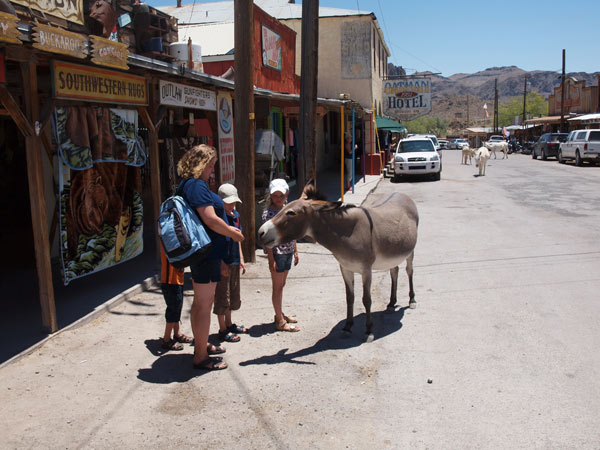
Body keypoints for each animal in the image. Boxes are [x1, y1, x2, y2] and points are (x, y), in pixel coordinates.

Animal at [257, 184, 419, 340]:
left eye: (291, 213)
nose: (260, 232)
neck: (349, 233)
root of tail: (402, 194)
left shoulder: (366, 270)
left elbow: (366, 299)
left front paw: (368, 331)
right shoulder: (345, 268)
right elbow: (349, 298)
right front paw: (347, 327)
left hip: (410, 251)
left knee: (409, 271)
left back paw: (412, 300)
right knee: (394, 271)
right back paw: (391, 303)